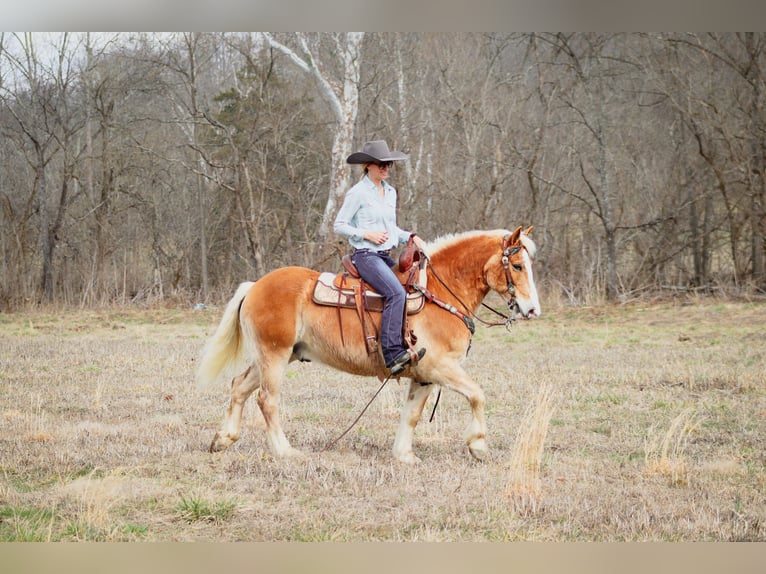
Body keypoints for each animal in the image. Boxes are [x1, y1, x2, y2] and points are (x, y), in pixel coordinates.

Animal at [201, 227, 544, 466]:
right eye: (516, 265)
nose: (532, 310)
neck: (440, 292)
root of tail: (255, 285)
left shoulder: (424, 375)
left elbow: (412, 415)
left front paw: (404, 455)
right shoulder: (440, 366)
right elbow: (477, 395)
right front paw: (478, 445)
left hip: (276, 356)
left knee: (239, 387)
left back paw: (223, 439)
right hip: (274, 355)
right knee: (267, 400)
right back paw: (285, 452)